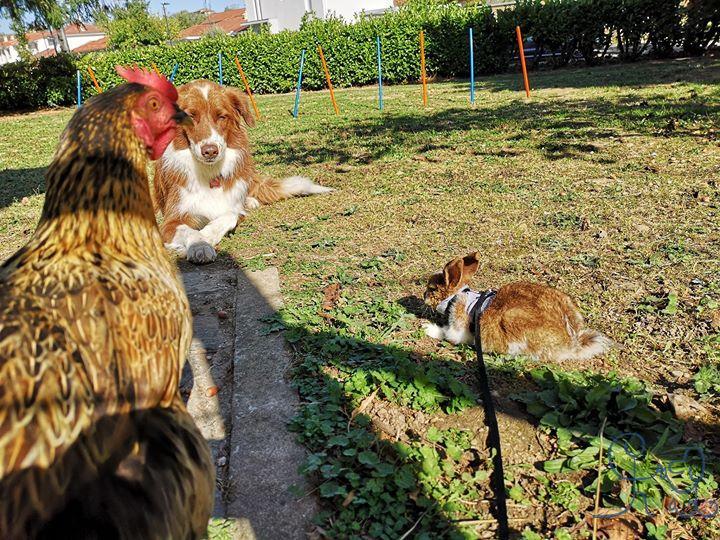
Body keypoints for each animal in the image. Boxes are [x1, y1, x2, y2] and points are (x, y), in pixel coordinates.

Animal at [153, 80, 334, 264]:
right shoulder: (171, 221)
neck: (210, 173)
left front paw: (207, 234)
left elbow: (231, 215)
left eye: (221, 117)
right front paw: (200, 245)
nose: (210, 151)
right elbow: (188, 231)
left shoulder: (234, 208)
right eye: (190, 116)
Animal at [422, 252, 612, 360]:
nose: (424, 296)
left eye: (431, 288)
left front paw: (428, 328)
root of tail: (572, 341)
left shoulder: (458, 327)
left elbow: (447, 334)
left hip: (512, 321)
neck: (455, 296)